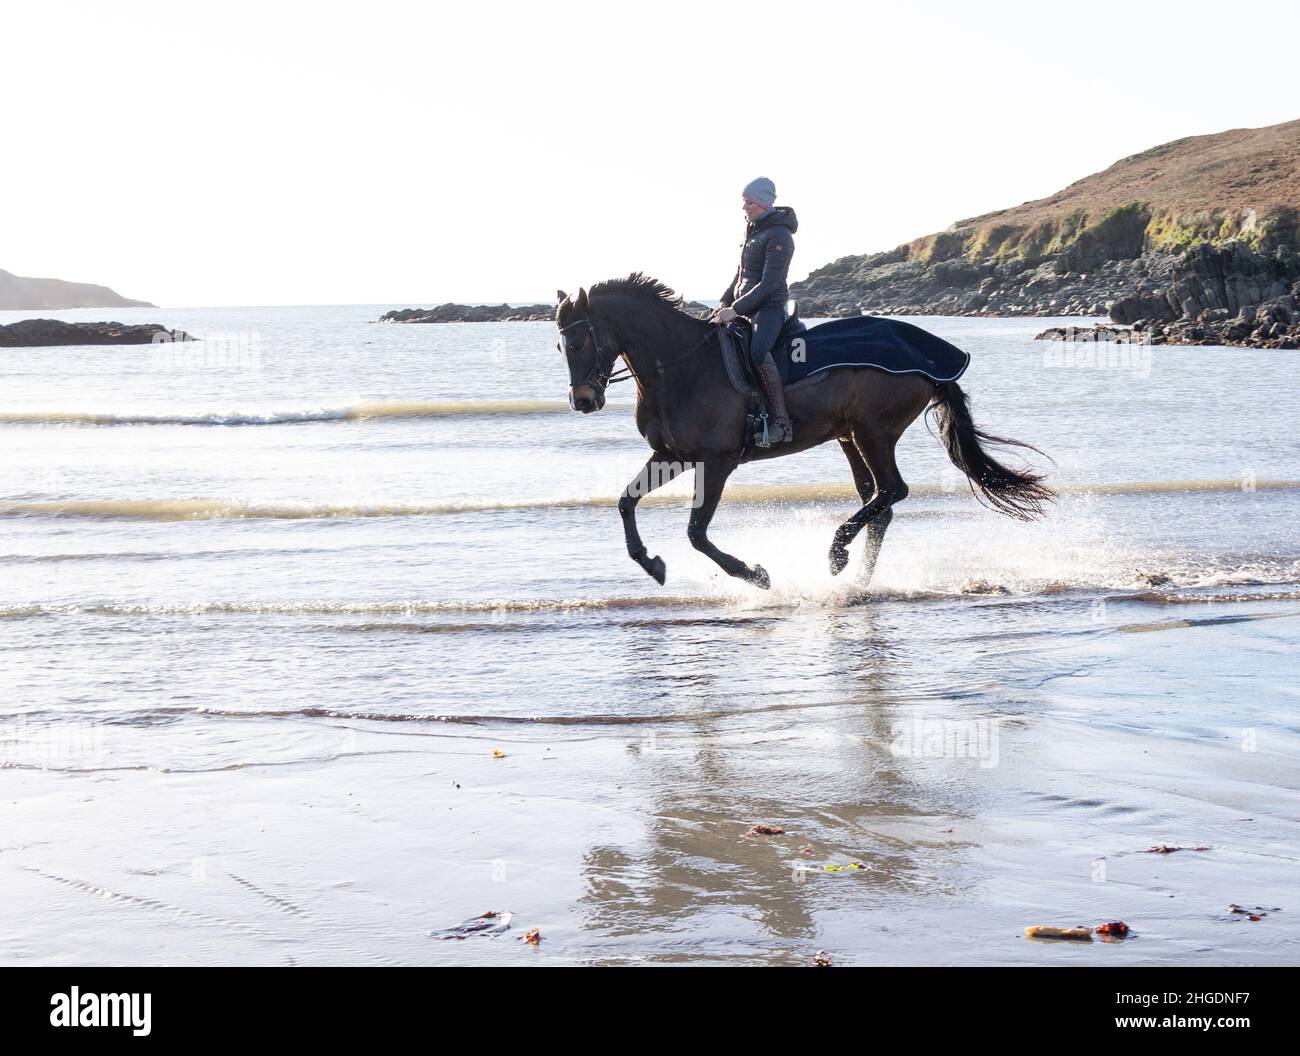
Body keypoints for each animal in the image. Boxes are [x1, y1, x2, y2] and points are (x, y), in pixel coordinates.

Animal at [553, 271, 1050, 590]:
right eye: (560, 344)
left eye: (578, 342)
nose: (584, 401)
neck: (682, 367)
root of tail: (932, 357)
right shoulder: (672, 456)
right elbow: (626, 501)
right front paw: (652, 564)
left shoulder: (717, 461)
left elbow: (696, 531)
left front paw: (754, 574)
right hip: (850, 437)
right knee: (879, 500)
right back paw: (857, 579)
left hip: (873, 431)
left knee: (892, 491)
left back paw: (836, 555)